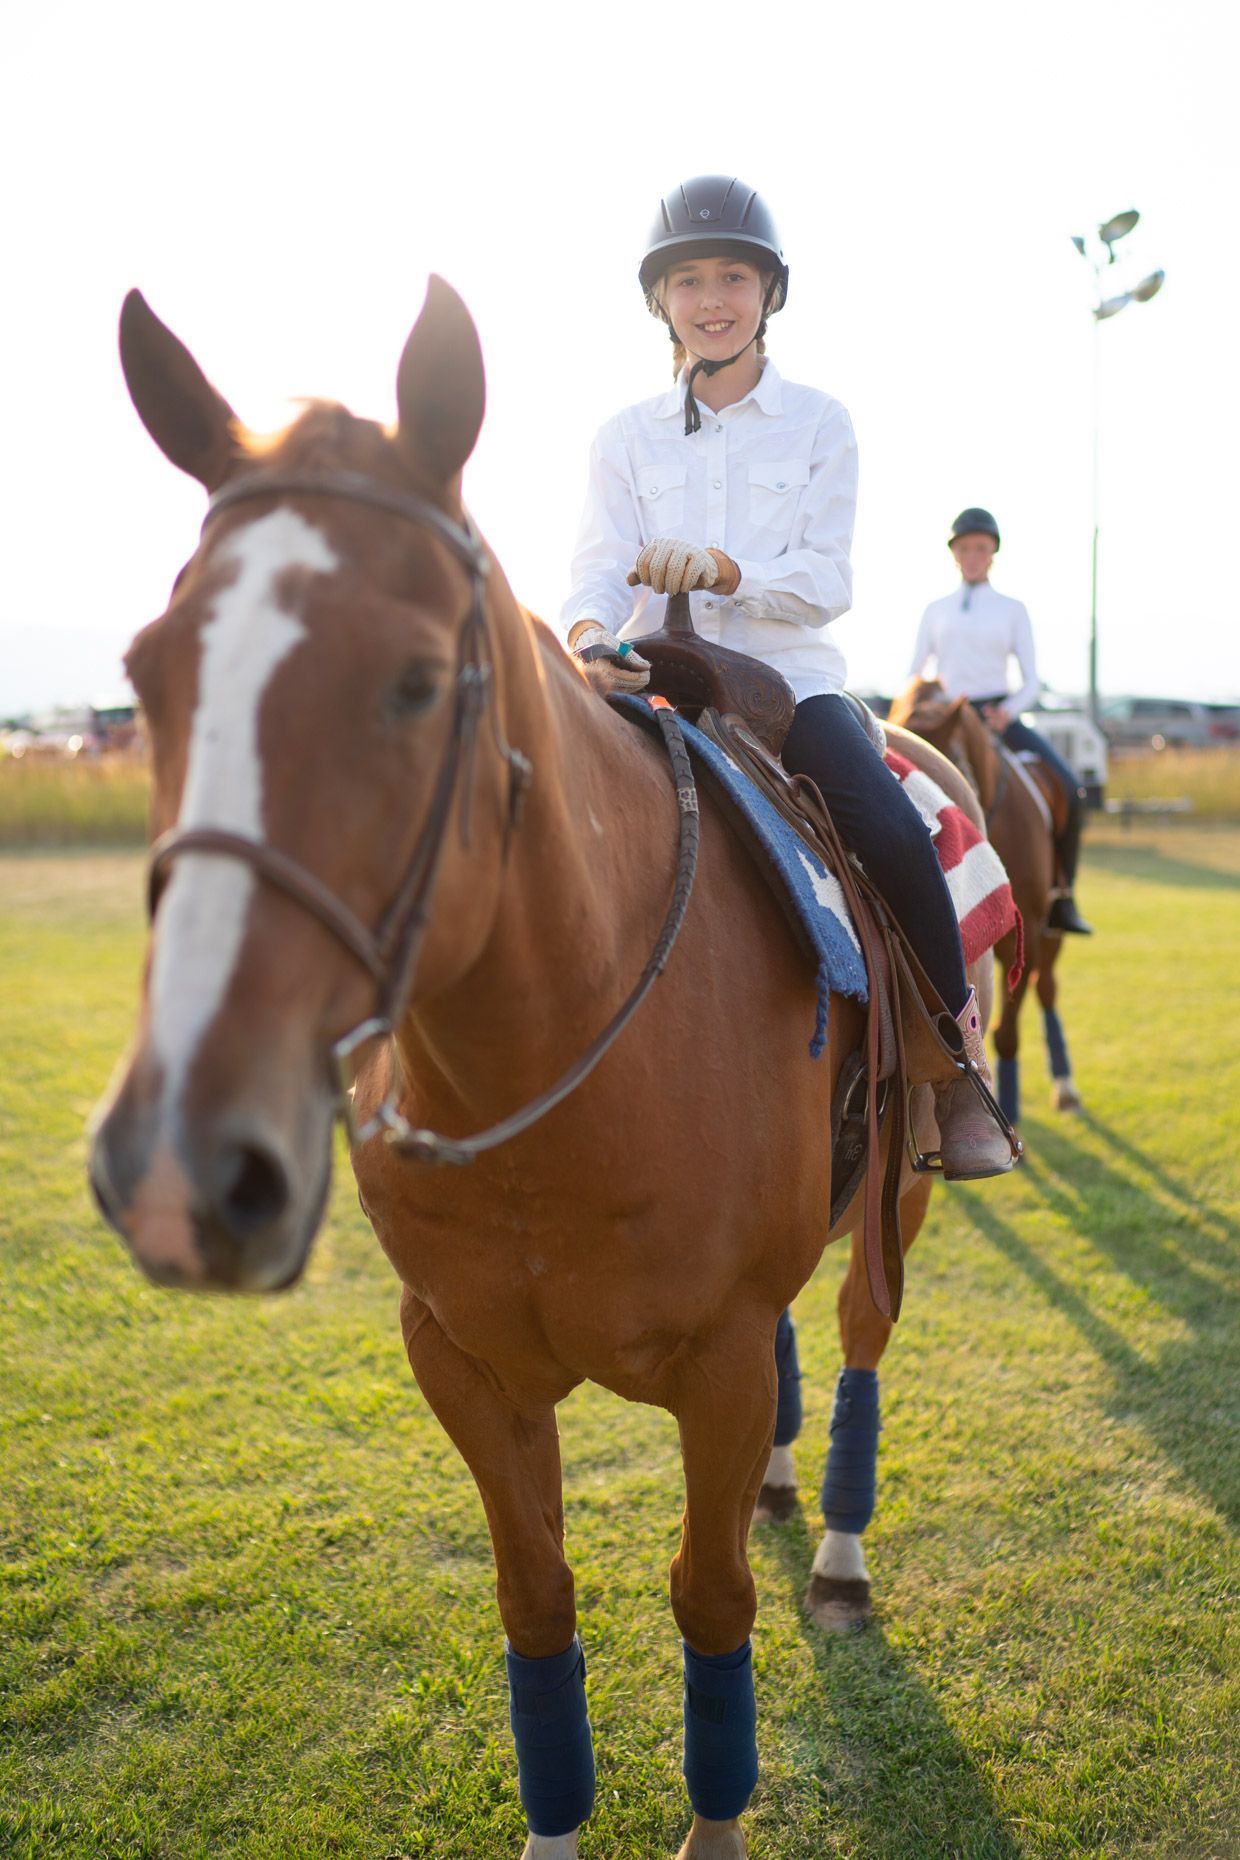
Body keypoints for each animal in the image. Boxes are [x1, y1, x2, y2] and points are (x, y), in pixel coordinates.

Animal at [91, 278, 982, 1859]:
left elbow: (709, 1600)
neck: (560, 1060)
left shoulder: (711, 1360)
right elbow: (536, 1601)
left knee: (861, 1335)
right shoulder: (459, 1357)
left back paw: (835, 1546)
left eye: (417, 681)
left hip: (906, 1190)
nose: (181, 1167)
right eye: (148, 674)